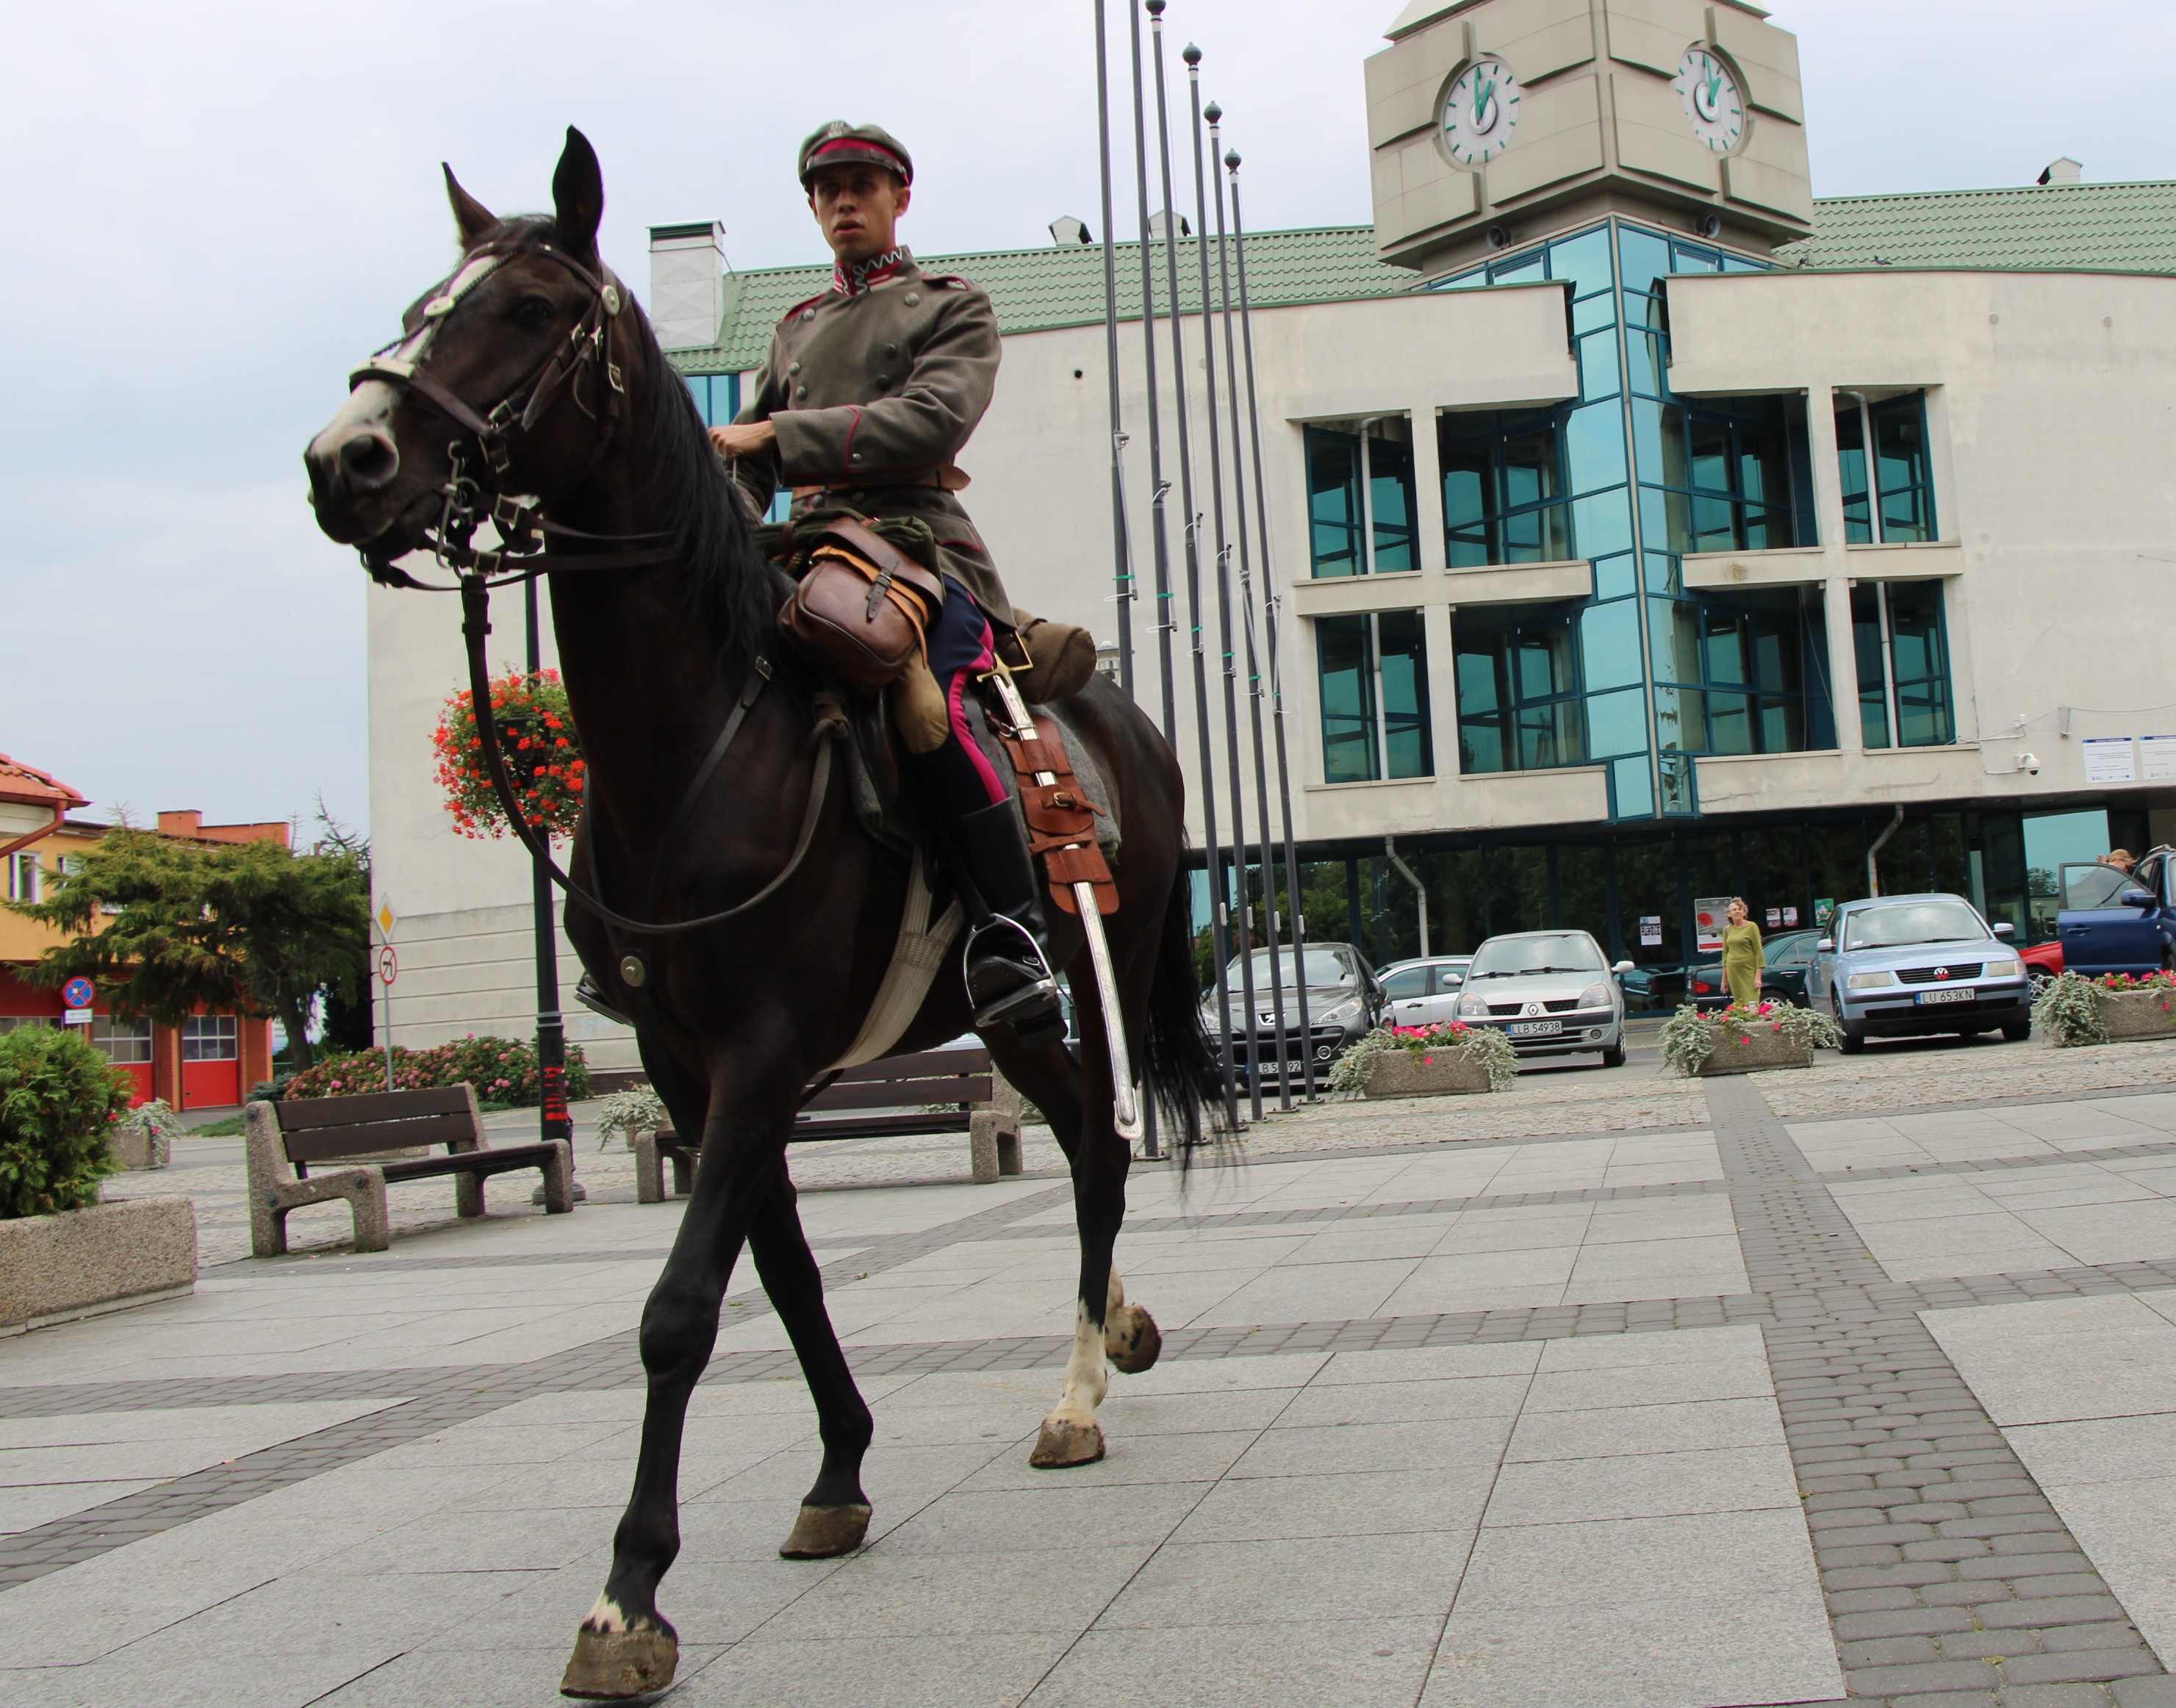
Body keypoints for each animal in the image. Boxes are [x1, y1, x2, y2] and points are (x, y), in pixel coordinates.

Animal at [302, 129, 1227, 1688]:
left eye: (533, 309)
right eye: (426, 301)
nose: (346, 459)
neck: (696, 747)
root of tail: (1122, 718)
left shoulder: (764, 1048)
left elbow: (681, 1306)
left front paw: (629, 1592)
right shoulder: (689, 1064)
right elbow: (780, 1270)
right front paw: (838, 1471)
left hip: (1089, 983)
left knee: (1103, 1154)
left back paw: (1075, 1392)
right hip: (1013, 1020)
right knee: (1086, 1154)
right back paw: (1112, 1335)